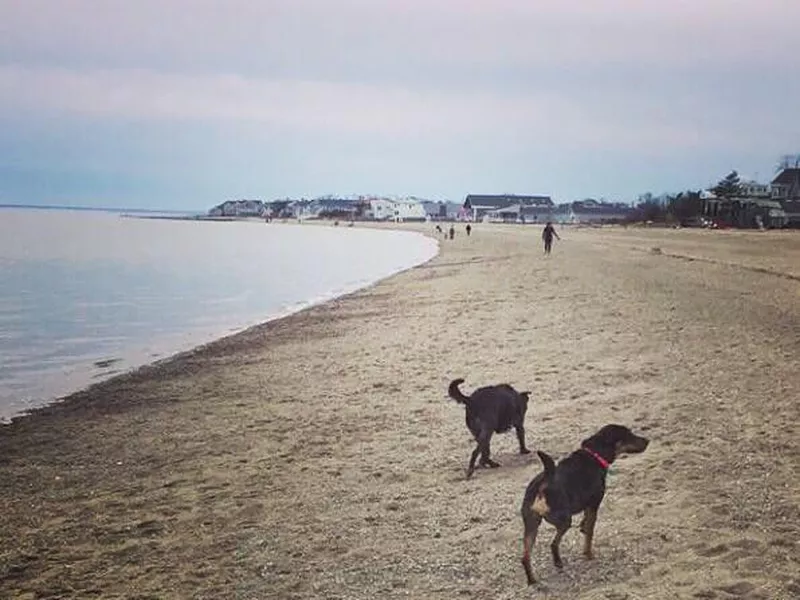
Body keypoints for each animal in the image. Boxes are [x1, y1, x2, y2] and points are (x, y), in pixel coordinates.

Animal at [520, 424, 648, 584]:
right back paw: (558, 562)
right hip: (564, 520)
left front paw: (582, 527)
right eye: (628, 435)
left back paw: (532, 580)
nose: (647, 440)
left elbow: (586, 522)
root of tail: (544, 481)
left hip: (531, 525)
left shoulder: (587, 504)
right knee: (553, 544)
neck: (595, 455)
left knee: (525, 557)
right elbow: (590, 533)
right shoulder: (594, 504)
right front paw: (588, 553)